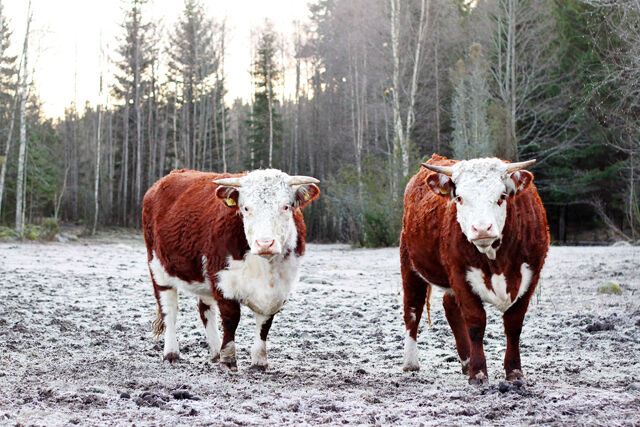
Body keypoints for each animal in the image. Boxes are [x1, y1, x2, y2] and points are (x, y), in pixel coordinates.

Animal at [142, 168, 320, 371]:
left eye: (286, 206)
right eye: (246, 208)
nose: (265, 243)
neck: (266, 269)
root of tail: (170, 176)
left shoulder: (279, 289)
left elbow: (265, 324)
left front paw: (259, 361)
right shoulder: (223, 281)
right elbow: (231, 319)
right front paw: (228, 359)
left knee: (205, 310)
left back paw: (214, 352)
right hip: (158, 268)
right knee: (169, 310)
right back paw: (172, 354)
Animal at [400, 154, 549, 385]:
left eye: (502, 196)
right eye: (460, 198)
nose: (481, 229)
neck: (497, 260)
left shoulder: (531, 277)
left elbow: (514, 325)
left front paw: (514, 371)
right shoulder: (460, 275)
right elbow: (475, 323)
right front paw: (478, 373)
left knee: (450, 307)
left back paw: (465, 361)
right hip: (410, 265)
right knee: (413, 310)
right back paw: (411, 363)